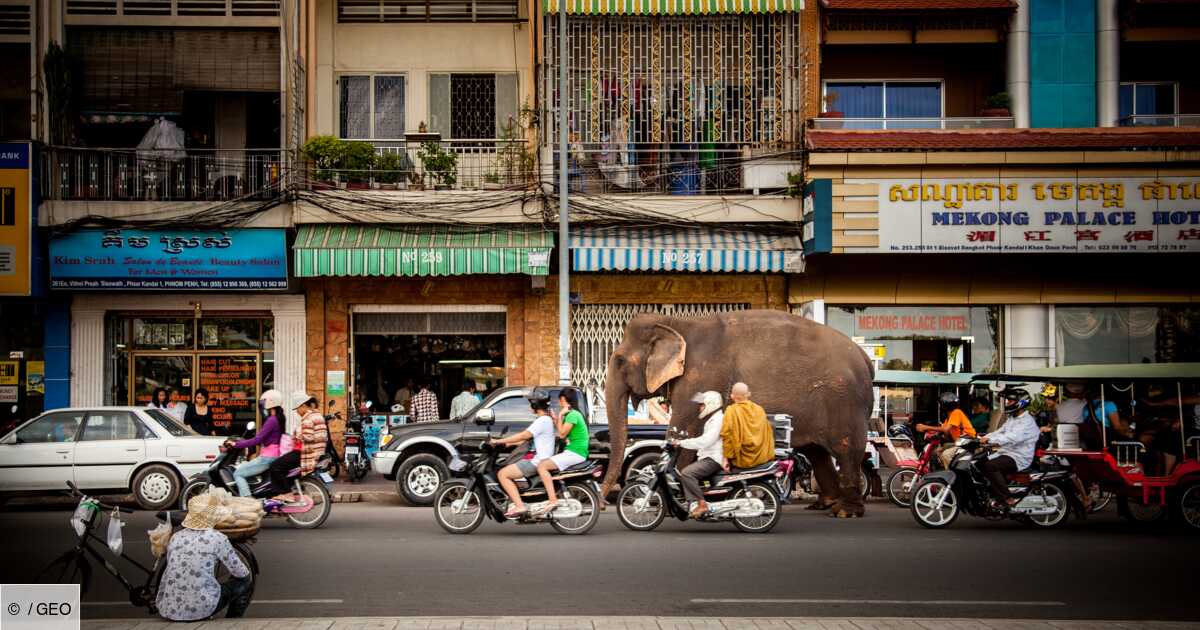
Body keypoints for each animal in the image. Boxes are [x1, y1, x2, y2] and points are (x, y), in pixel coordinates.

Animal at [600, 307, 873, 516]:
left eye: (620, 361)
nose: (602, 504)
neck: (677, 324)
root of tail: (864, 357)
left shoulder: (701, 377)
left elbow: (685, 433)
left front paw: (671, 502)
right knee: (817, 453)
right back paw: (823, 505)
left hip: (844, 401)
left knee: (847, 450)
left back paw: (845, 511)